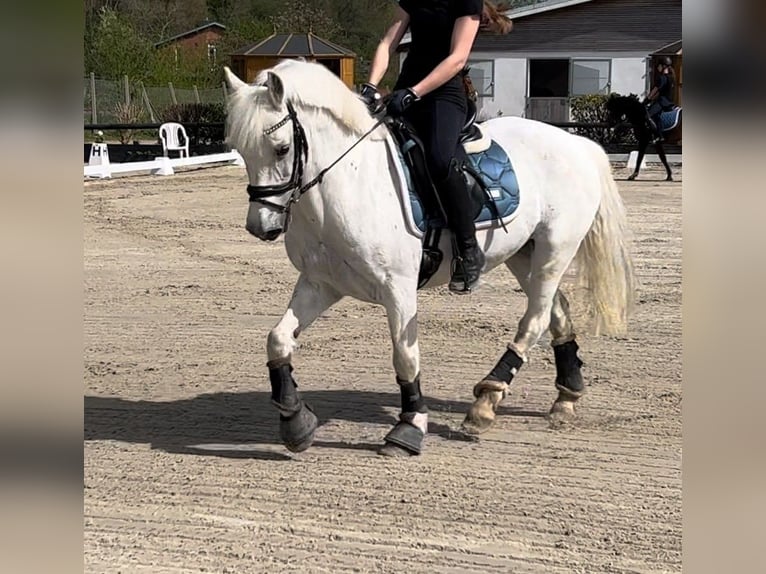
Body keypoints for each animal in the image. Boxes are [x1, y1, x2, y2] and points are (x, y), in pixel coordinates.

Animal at [224, 60, 636, 460]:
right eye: (241, 150)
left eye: (281, 149)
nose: (261, 227)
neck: (347, 184)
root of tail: (576, 143)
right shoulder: (320, 284)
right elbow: (278, 340)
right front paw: (295, 421)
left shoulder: (399, 288)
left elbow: (405, 357)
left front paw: (408, 428)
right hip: (524, 252)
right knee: (557, 312)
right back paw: (565, 397)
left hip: (555, 248)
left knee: (534, 320)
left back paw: (486, 402)